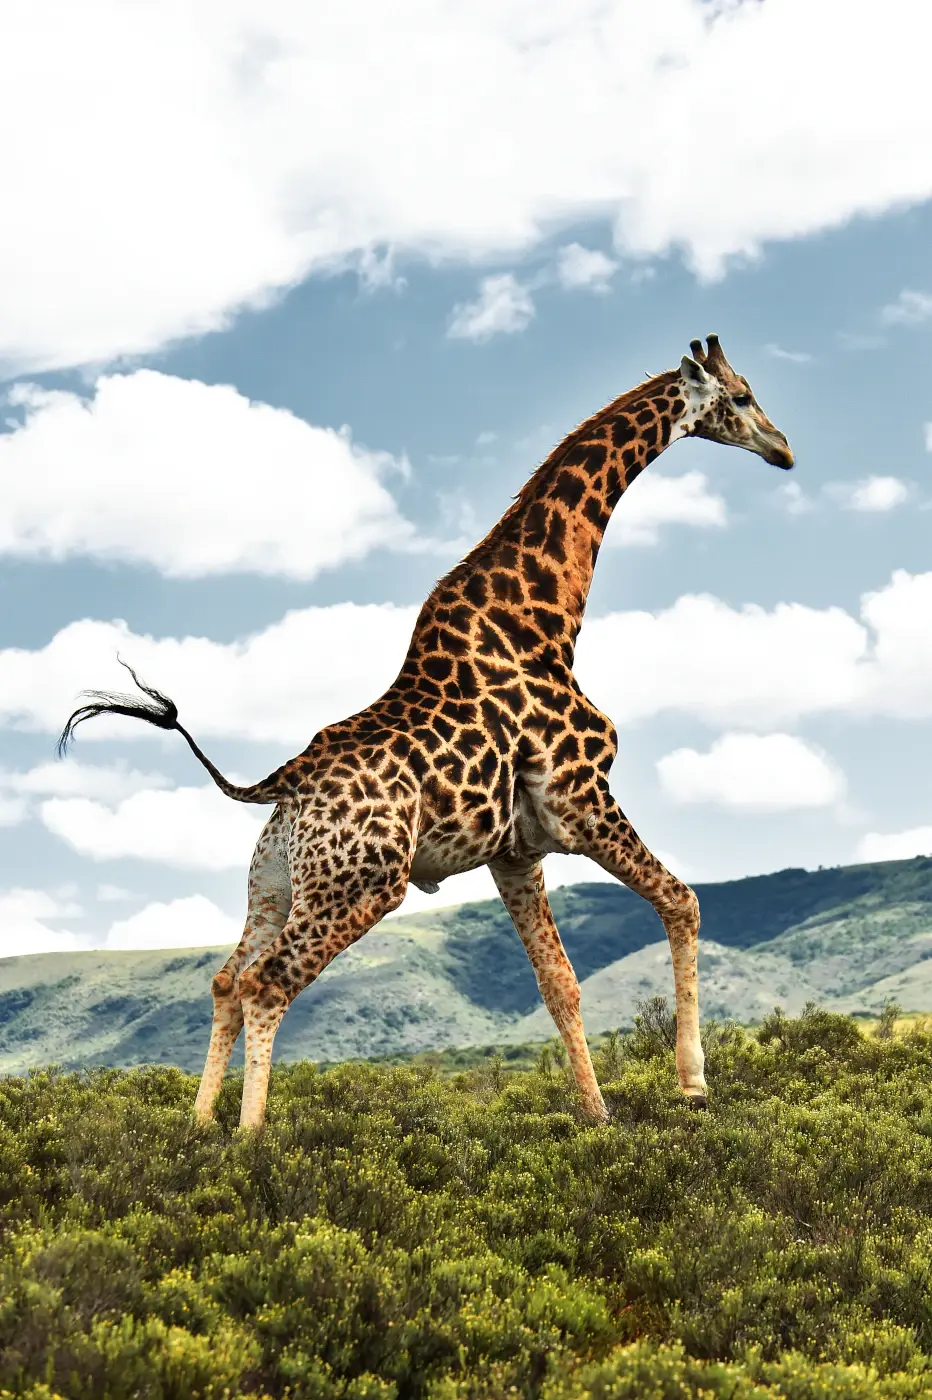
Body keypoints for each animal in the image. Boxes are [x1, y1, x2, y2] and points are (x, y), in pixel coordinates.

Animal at [60, 335, 793, 1131]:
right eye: (743, 395)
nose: (782, 449)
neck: (546, 617)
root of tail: (283, 785)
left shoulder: (515, 850)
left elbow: (559, 982)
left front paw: (597, 1118)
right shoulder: (581, 797)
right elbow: (682, 900)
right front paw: (692, 1087)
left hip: (277, 882)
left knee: (228, 980)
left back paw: (198, 1130)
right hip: (364, 884)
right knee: (267, 983)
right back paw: (250, 1140)